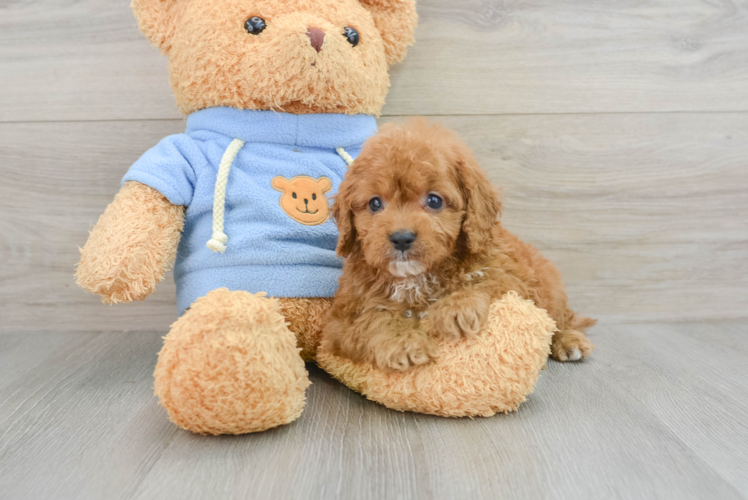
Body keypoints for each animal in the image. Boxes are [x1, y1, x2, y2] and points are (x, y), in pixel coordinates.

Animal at [322, 119, 596, 372]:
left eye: (434, 201)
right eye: (375, 204)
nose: (401, 238)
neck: (416, 277)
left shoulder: (514, 278)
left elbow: (489, 281)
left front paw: (457, 307)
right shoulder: (339, 322)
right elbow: (370, 320)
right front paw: (402, 341)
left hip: (550, 286)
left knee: (559, 319)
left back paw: (569, 340)